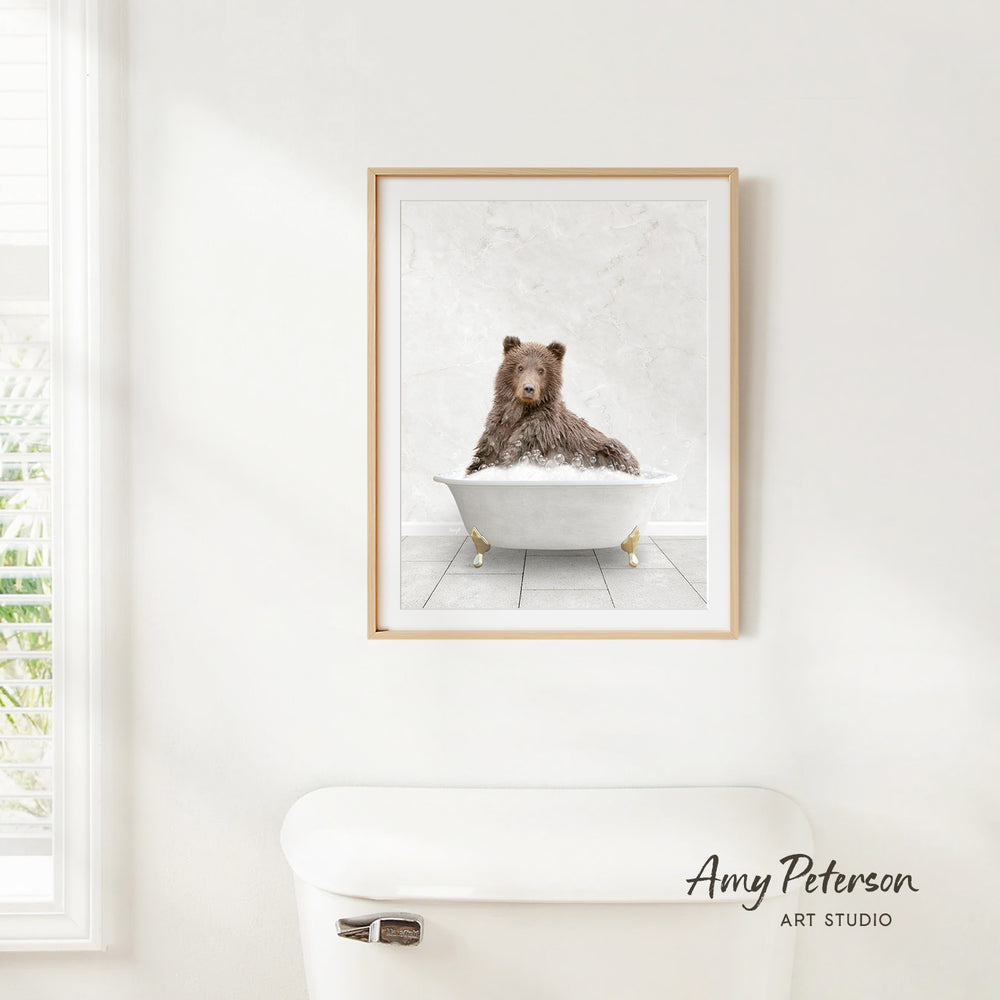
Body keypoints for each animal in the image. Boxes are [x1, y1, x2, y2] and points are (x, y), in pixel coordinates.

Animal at [466, 336, 640, 476]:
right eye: (520, 367)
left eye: (541, 370)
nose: (529, 388)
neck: (519, 412)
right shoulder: (497, 431)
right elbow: (483, 459)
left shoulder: (538, 435)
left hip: (609, 450)